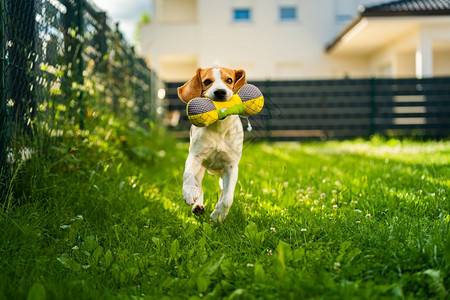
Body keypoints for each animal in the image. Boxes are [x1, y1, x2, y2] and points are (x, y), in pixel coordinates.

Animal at [178, 68, 246, 221]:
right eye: (207, 81)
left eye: (229, 80)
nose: (220, 92)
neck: (218, 127)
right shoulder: (194, 157)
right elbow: (188, 174)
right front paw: (188, 192)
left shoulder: (231, 167)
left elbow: (227, 199)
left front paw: (217, 216)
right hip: (201, 169)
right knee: (199, 185)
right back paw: (198, 205)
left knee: (223, 192)